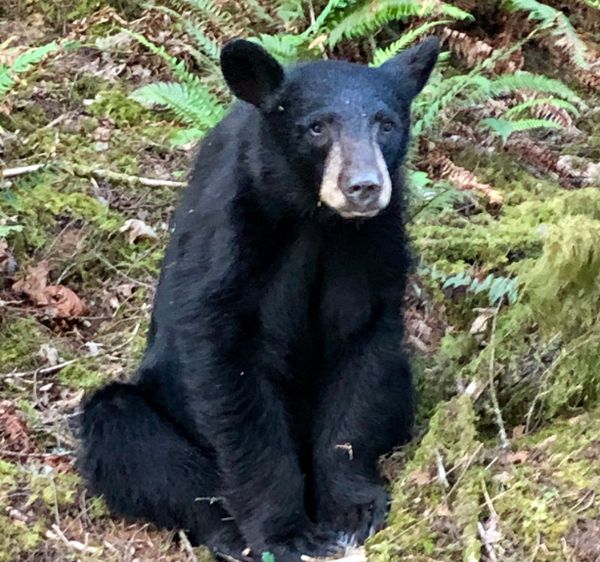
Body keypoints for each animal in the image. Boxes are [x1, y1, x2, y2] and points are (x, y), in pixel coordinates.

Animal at [77, 36, 438, 560]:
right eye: (317, 127)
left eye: (386, 124)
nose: (364, 187)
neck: (314, 219)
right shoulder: (231, 236)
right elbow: (230, 374)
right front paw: (286, 532)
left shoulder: (373, 245)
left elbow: (362, 353)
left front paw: (352, 508)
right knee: (125, 432)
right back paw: (227, 531)